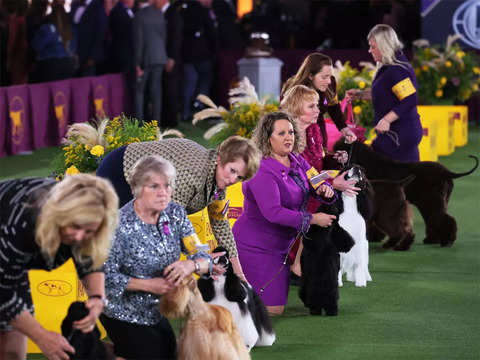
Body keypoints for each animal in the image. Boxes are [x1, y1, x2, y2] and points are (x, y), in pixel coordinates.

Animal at [336, 141, 478, 248]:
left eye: (339, 149)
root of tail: (447, 172)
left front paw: (374, 237)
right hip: (436, 202)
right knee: (435, 219)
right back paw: (433, 239)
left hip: (432, 202)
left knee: (442, 219)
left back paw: (447, 241)